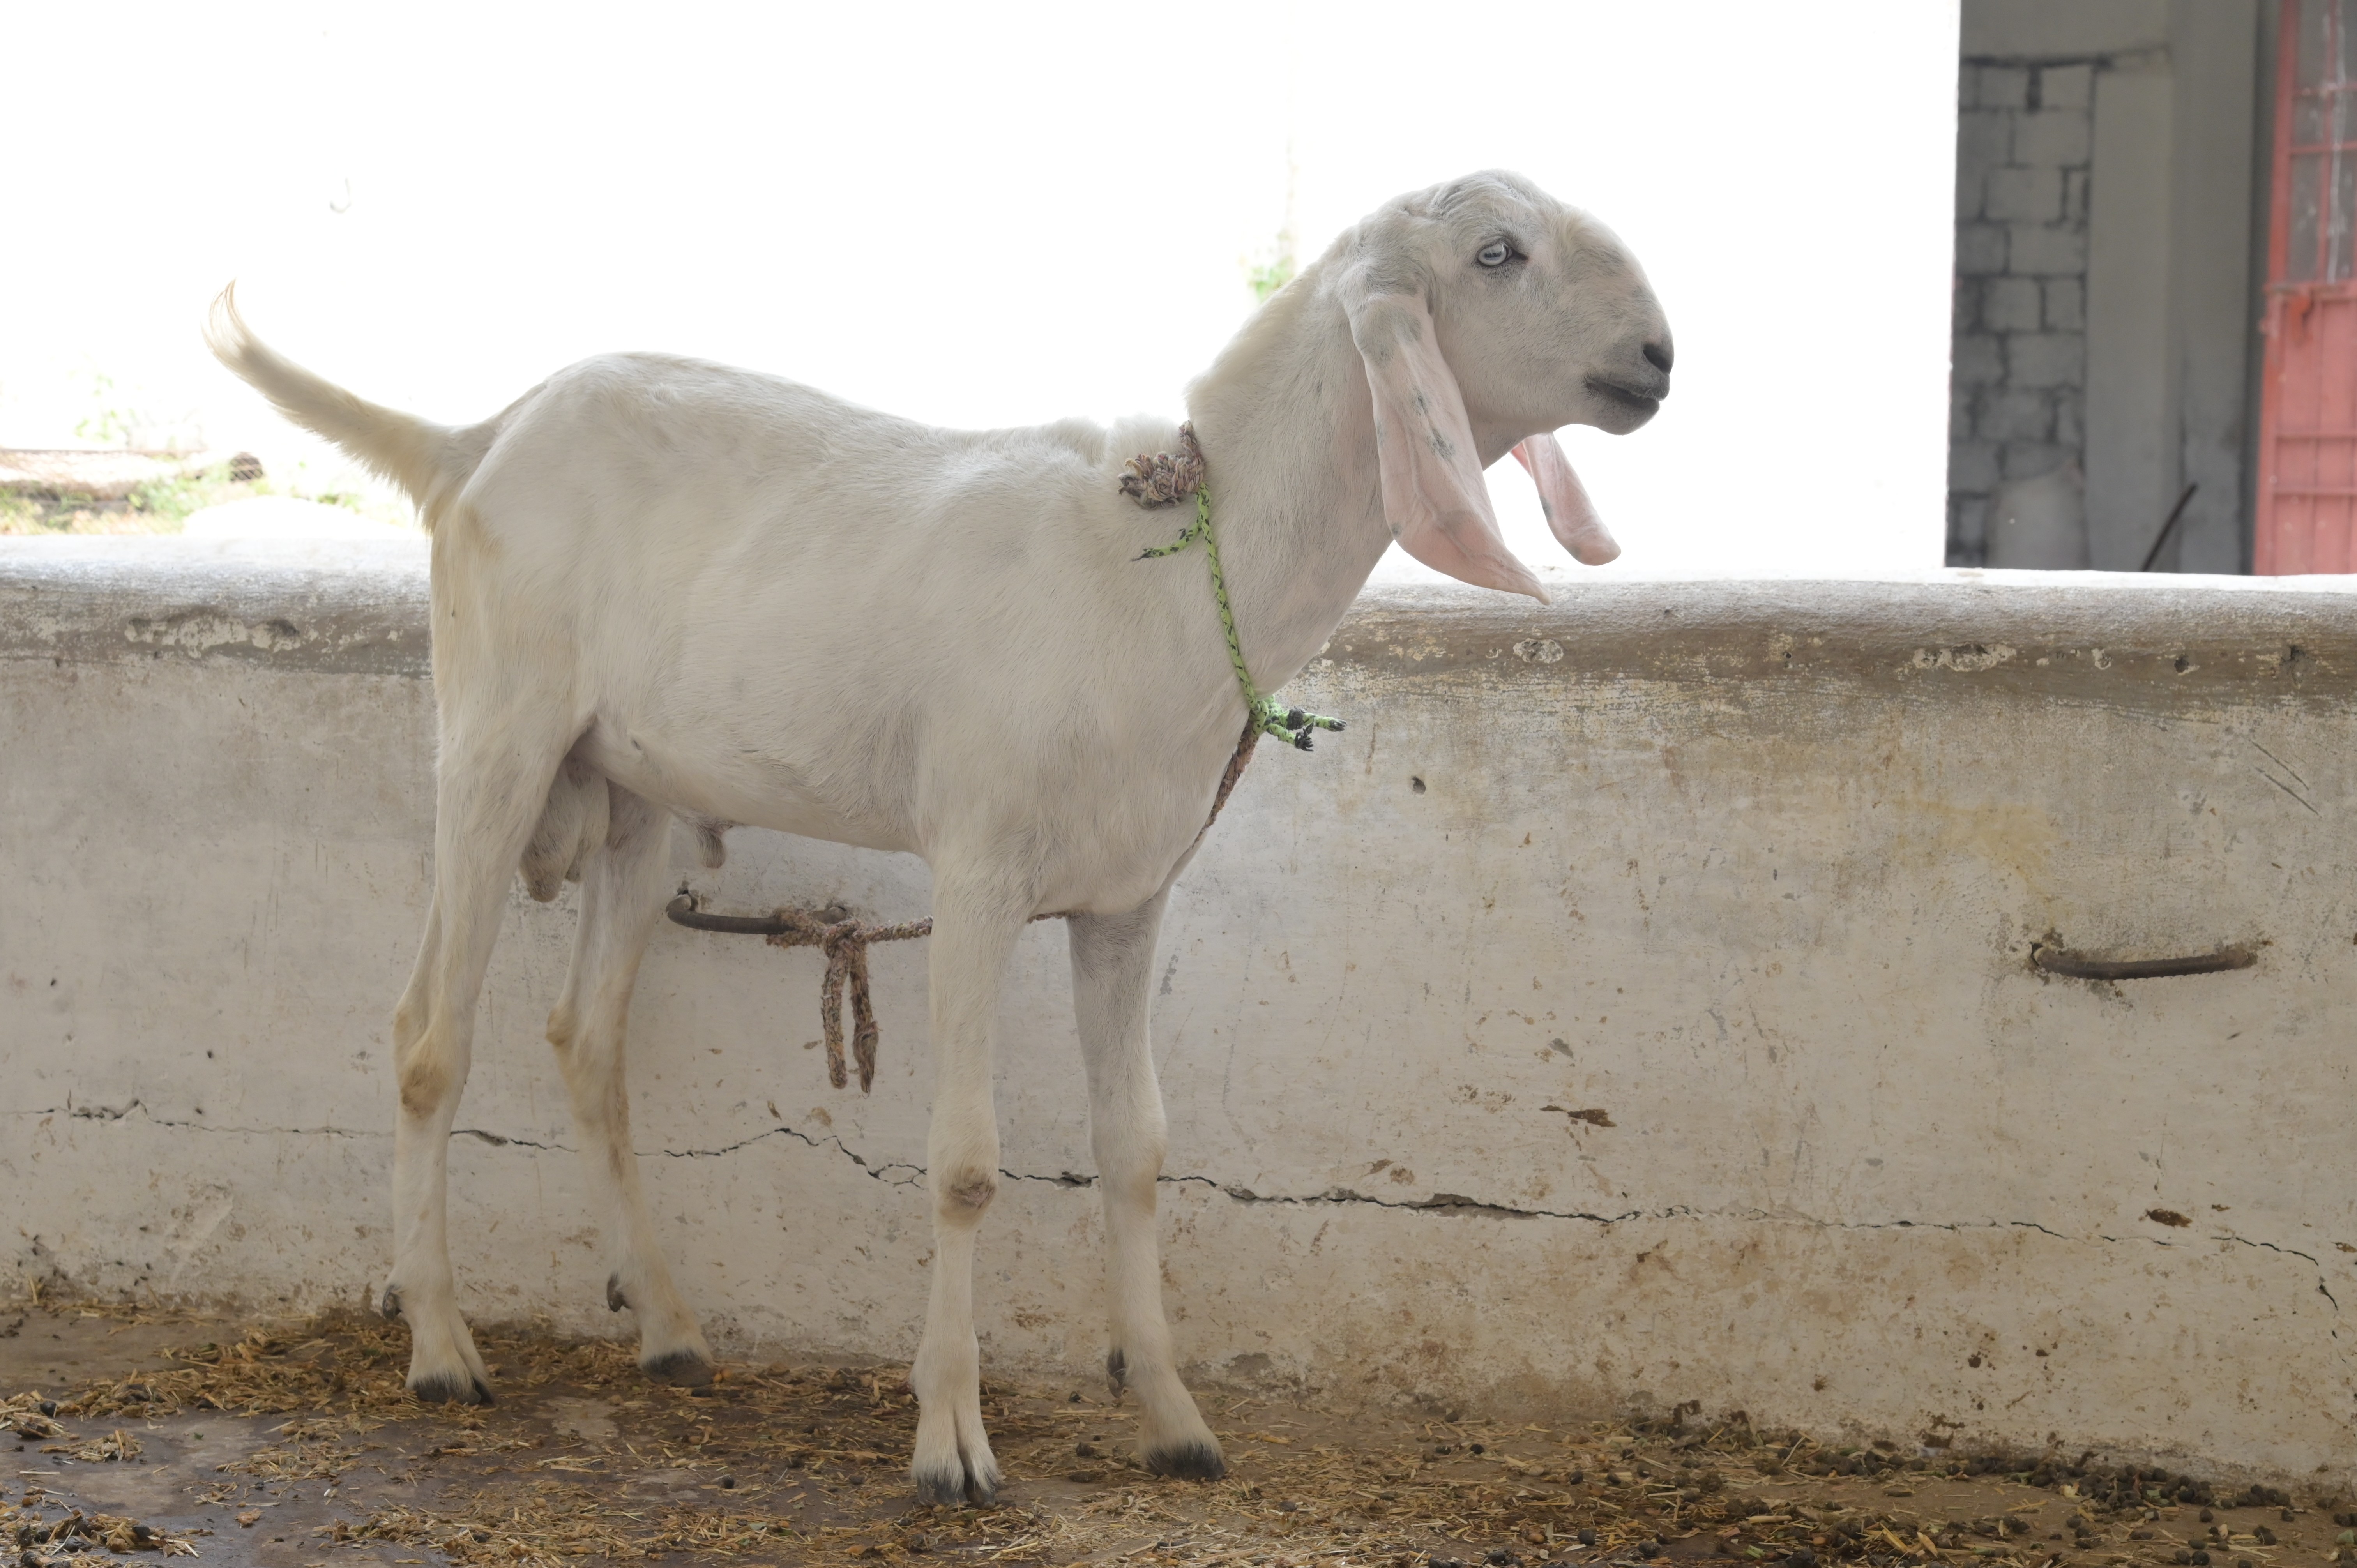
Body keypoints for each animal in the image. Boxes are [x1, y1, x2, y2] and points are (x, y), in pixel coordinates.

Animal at [206, 169, 1671, 1505]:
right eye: (1497, 252)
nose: (1658, 357)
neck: (1161, 570)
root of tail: (474, 437)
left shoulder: (1129, 894)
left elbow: (1137, 1149)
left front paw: (1174, 1418)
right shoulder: (977, 866)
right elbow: (966, 1164)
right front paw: (952, 1443)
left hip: (639, 799)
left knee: (586, 1041)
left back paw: (669, 1327)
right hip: (497, 730)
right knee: (428, 1037)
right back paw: (442, 1343)